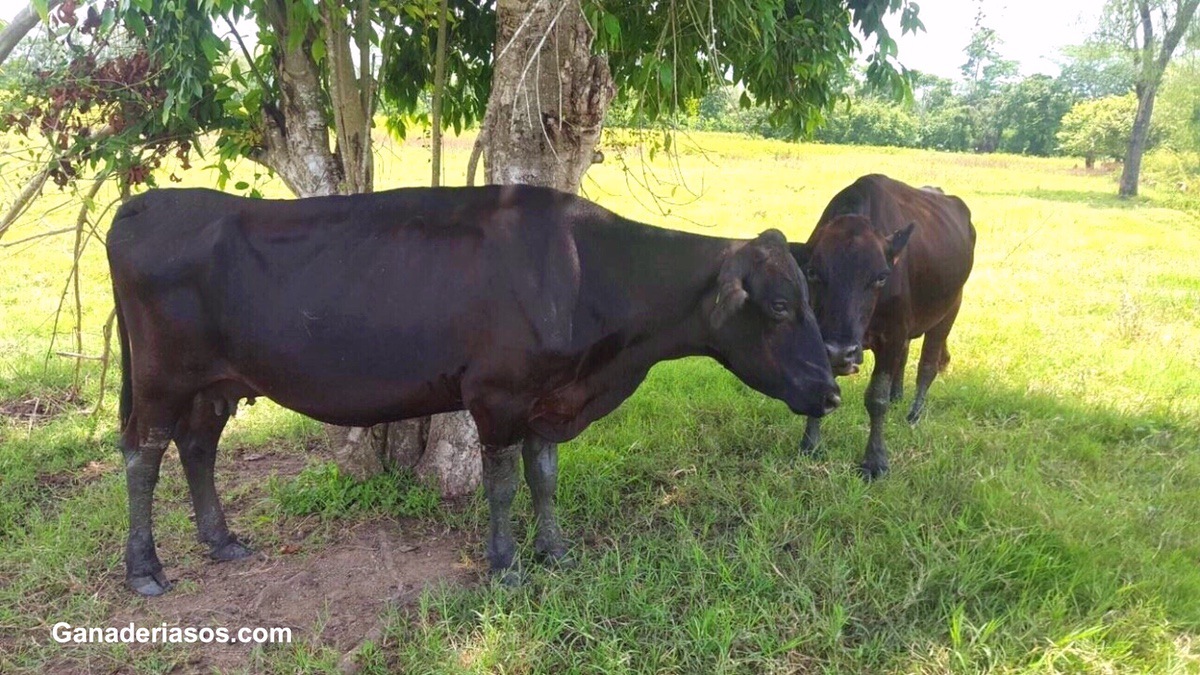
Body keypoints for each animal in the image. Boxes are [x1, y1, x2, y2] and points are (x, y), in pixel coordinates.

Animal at [114, 183, 844, 593]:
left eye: (812, 298)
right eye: (781, 306)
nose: (834, 389)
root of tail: (146, 205)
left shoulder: (551, 400)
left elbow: (545, 476)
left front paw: (556, 552)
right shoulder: (497, 396)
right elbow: (503, 484)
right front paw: (506, 565)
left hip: (214, 383)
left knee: (198, 448)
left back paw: (222, 542)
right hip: (159, 379)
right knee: (143, 459)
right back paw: (145, 569)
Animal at [792, 172, 979, 478]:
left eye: (881, 276)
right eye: (812, 272)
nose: (841, 352)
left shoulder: (892, 334)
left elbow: (876, 399)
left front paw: (875, 461)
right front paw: (810, 443)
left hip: (949, 309)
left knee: (927, 366)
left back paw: (914, 413)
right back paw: (897, 395)